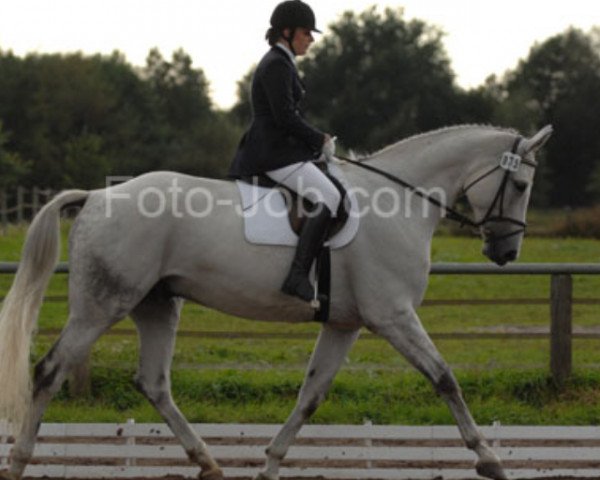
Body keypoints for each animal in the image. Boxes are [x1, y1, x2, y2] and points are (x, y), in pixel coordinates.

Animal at [0, 124, 552, 480]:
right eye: (521, 184)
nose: (505, 252)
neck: (401, 202)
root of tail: (96, 197)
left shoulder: (345, 324)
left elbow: (311, 394)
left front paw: (269, 463)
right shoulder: (393, 316)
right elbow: (444, 378)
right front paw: (489, 459)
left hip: (156, 304)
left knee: (153, 382)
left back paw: (208, 463)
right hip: (103, 304)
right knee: (49, 370)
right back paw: (20, 460)